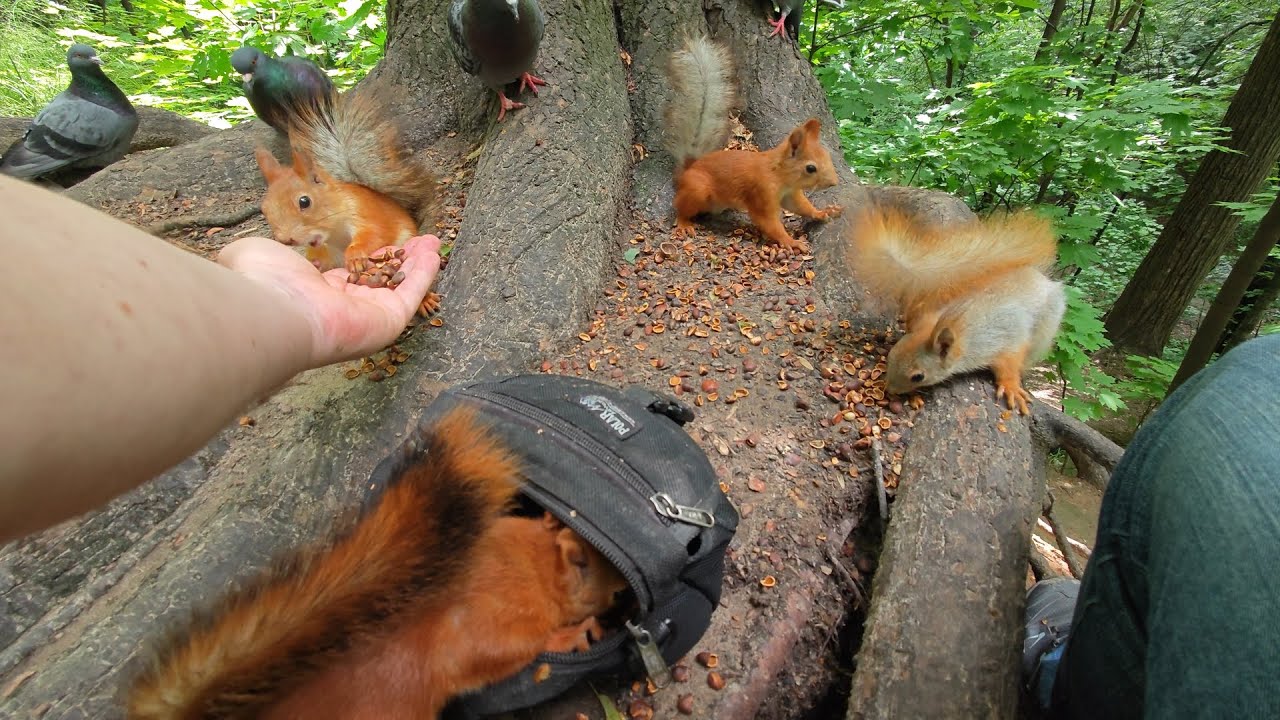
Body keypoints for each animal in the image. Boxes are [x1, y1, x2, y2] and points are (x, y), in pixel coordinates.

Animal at [126, 407, 629, 720]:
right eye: (611, 586)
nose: (621, 600)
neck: (530, 564)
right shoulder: (493, 624)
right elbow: (503, 653)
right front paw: (572, 636)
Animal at [253, 87, 439, 273]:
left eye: (304, 201)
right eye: (264, 209)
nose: (286, 240)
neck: (335, 233)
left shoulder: (365, 213)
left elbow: (375, 234)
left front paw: (355, 257)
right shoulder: (328, 250)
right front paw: (313, 263)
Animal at [663, 36, 842, 253]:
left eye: (827, 156)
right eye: (810, 168)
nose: (833, 183)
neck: (779, 174)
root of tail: (690, 167)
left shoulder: (790, 194)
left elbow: (801, 207)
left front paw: (822, 212)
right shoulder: (761, 192)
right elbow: (768, 221)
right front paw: (791, 242)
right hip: (697, 189)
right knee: (680, 206)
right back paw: (684, 223)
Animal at [845, 205, 1067, 415]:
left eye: (918, 376)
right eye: (890, 356)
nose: (889, 390)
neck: (962, 332)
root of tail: (1037, 276)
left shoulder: (1006, 340)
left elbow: (1009, 363)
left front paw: (1011, 386)